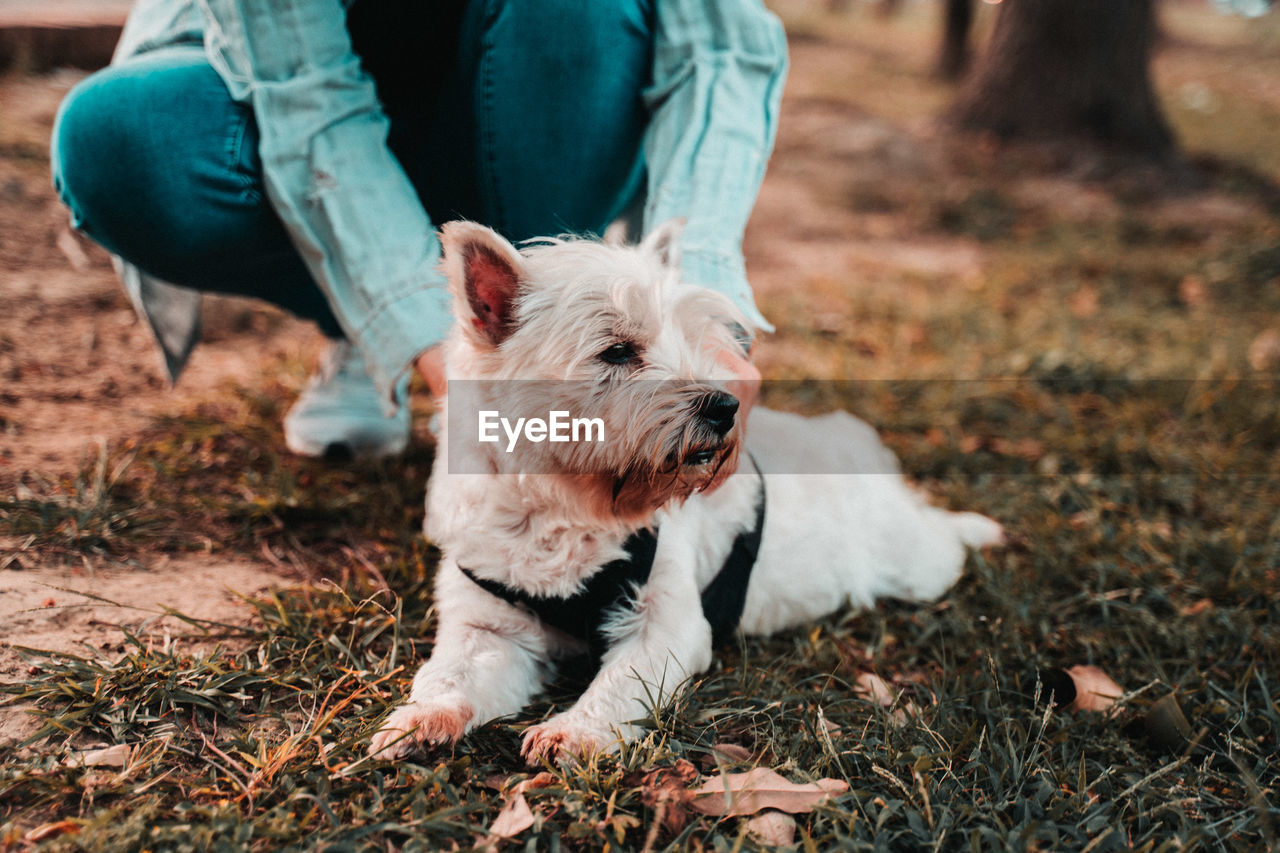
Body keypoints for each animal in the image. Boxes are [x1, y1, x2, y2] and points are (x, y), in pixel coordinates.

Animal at [366, 220, 1003, 763]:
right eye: (617, 351)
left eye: (698, 343)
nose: (725, 407)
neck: (564, 510)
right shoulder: (487, 624)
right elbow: (450, 675)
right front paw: (416, 720)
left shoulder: (666, 623)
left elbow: (620, 683)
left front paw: (573, 733)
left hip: (914, 562)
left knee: (940, 535)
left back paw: (981, 528)